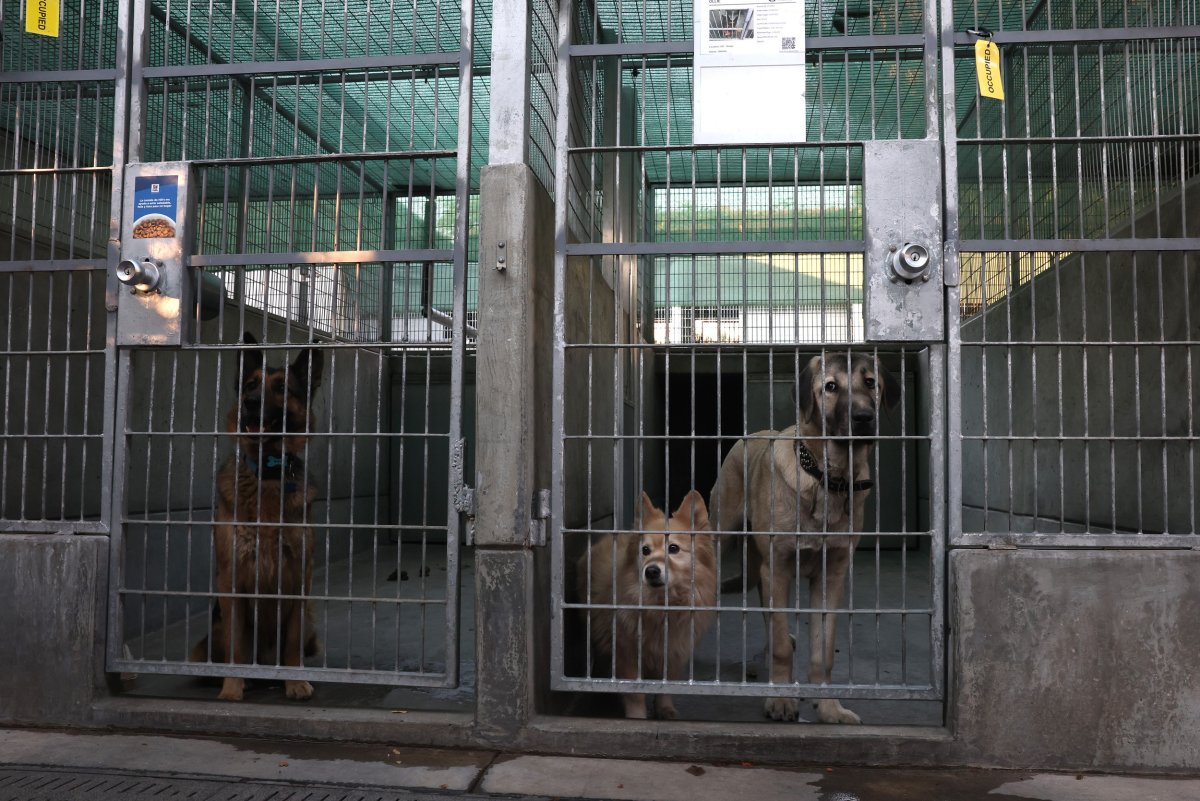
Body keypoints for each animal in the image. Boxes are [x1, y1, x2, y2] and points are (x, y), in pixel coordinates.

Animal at [187, 333, 321, 700]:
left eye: (282, 388)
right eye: (250, 384)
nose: (250, 402)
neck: (268, 473)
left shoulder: (299, 577)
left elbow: (292, 642)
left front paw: (295, 681)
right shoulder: (232, 579)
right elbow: (237, 646)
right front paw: (232, 689)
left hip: (310, 614)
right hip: (216, 627)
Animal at [576, 489, 715, 719]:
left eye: (673, 548)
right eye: (645, 550)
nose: (651, 571)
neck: (662, 607)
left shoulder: (674, 652)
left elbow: (666, 686)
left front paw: (665, 709)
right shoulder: (627, 654)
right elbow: (635, 694)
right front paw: (637, 717)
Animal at [705, 352, 897, 724]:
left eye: (870, 382)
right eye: (830, 387)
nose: (863, 418)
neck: (828, 478)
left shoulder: (830, 575)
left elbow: (823, 651)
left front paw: (829, 707)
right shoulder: (777, 567)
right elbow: (781, 644)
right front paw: (781, 701)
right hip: (722, 536)